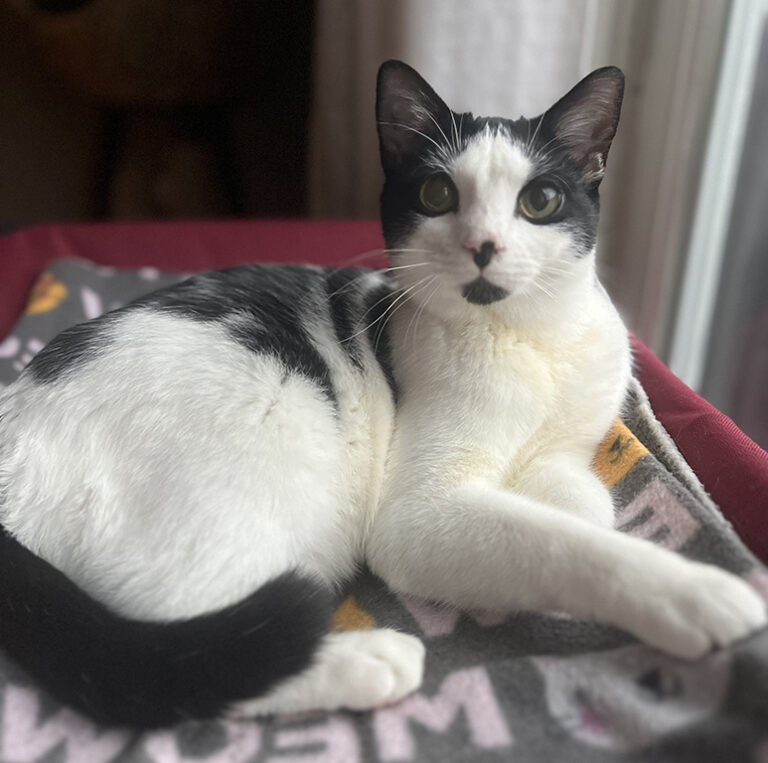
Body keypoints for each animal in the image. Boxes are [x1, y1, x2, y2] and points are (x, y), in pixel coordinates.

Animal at [1, 61, 768, 728]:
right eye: (437, 195)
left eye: (540, 200)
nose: (484, 245)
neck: (528, 341)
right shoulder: (417, 515)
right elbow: (557, 545)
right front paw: (688, 593)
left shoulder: (568, 442)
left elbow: (580, 502)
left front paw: (562, 504)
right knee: (182, 661)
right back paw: (366, 659)